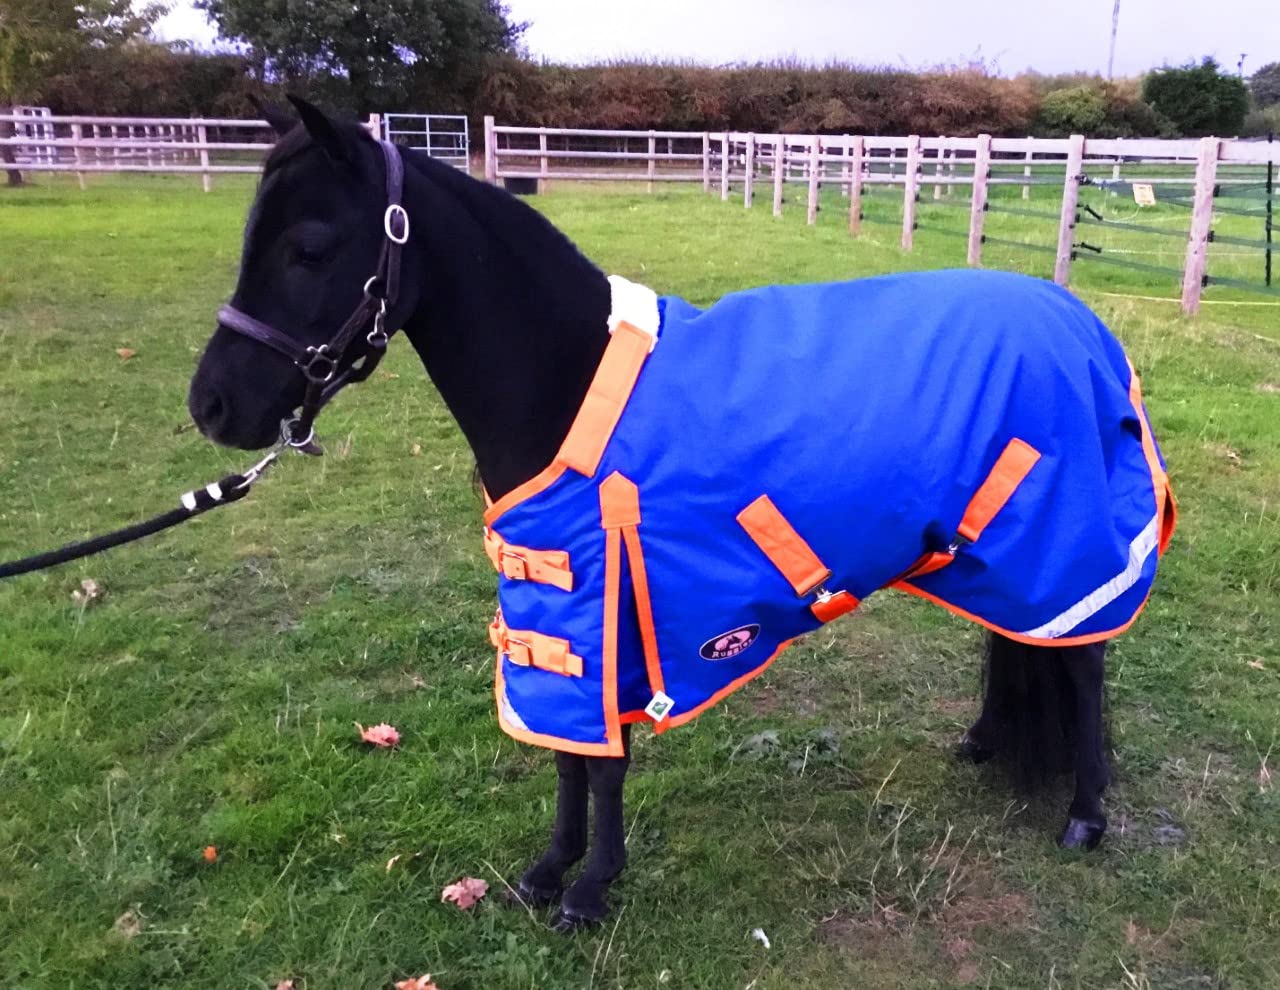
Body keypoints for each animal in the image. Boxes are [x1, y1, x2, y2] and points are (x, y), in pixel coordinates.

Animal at [188, 99, 1175, 930]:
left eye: (311, 248)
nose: (213, 406)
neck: (569, 380)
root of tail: (1082, 325)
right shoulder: (560, 608)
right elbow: (569, 751)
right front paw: (549, 871)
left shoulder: (606, 600)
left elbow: (605, 758)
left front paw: (590, 888)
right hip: (989, 555)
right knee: (1018, 640)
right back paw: (984, 743)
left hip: (1067, 548)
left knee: (1082, 665)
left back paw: (1085, 817)